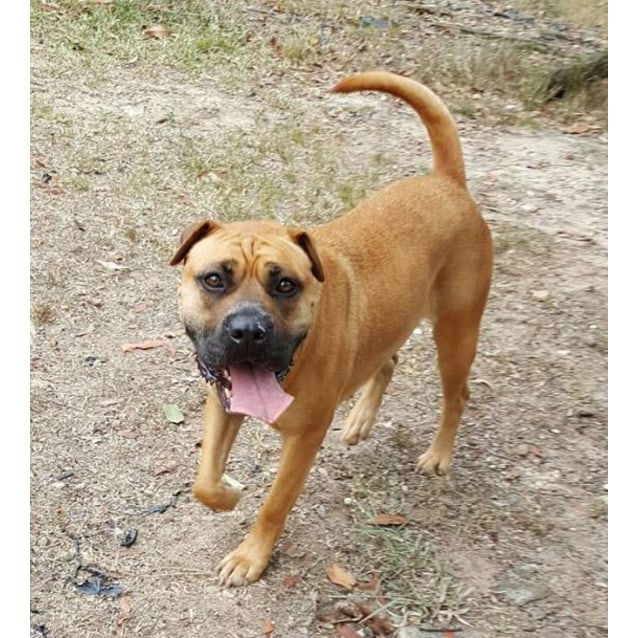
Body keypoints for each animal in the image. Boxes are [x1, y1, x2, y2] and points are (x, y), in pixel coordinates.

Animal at [169, 71, 493, 586]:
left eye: (285, 284)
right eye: (214, 279)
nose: (248, 331)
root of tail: (447, 182)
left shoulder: (304, 441)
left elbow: (274, 505)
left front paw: (251, 556)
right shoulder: (222, 403)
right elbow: (205, 482)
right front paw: (229, 494)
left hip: (456, 335)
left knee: (457, 395)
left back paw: (439, 454)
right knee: (389, 359)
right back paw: (361, 418)